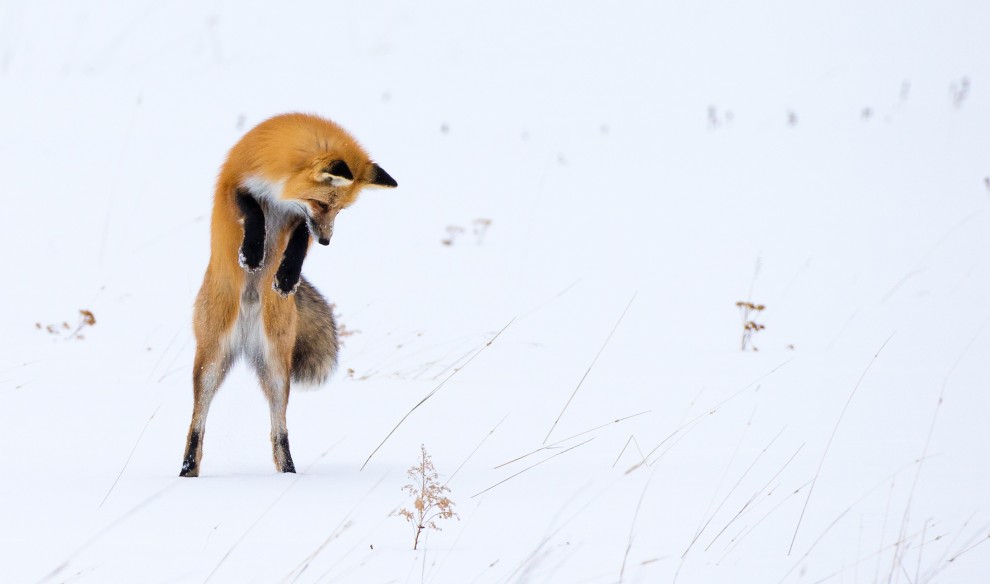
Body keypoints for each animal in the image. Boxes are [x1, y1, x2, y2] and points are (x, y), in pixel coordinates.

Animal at [180, 113, 397, 477]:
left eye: (340, 210)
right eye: (321, 202)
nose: (326, 241)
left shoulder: (299, 220)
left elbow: (296, 243)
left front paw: (285, 276)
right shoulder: (234, 183)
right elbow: (253, 211)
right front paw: (252, 253)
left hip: (277, 371)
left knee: (278, 431)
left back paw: (289, 476)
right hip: (210, 363)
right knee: (197, 424)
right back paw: (186, 473)